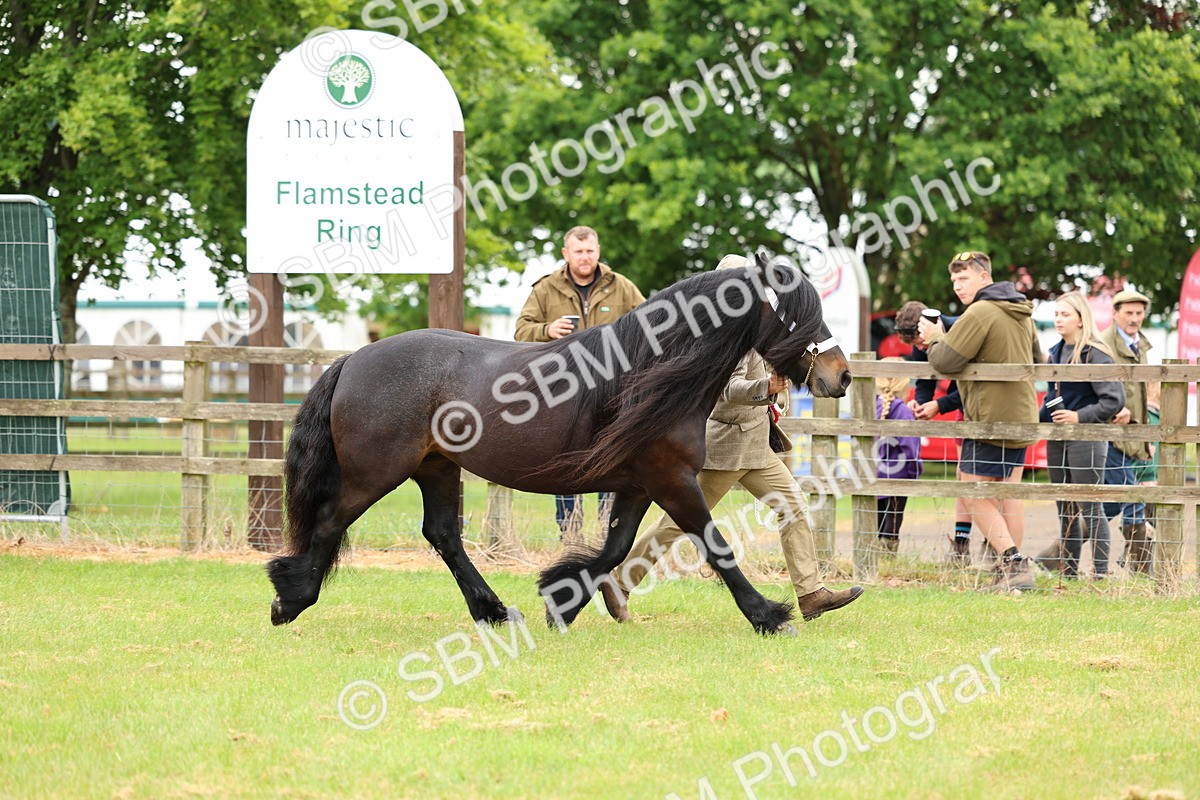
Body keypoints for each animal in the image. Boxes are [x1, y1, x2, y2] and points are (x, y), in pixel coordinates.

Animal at [267, 253, 851, 635]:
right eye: (795, 313)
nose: (841, 376)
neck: (646, 372)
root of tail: (353, 360)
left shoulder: (639, 484)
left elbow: (615, 548)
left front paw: (560, 604)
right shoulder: (672, 480)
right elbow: (716, 546)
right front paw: (769, 615)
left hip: (437, 468)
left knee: (443, 534)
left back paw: (495, 611)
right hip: (375, 473)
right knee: (330, 522)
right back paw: (290, 601)